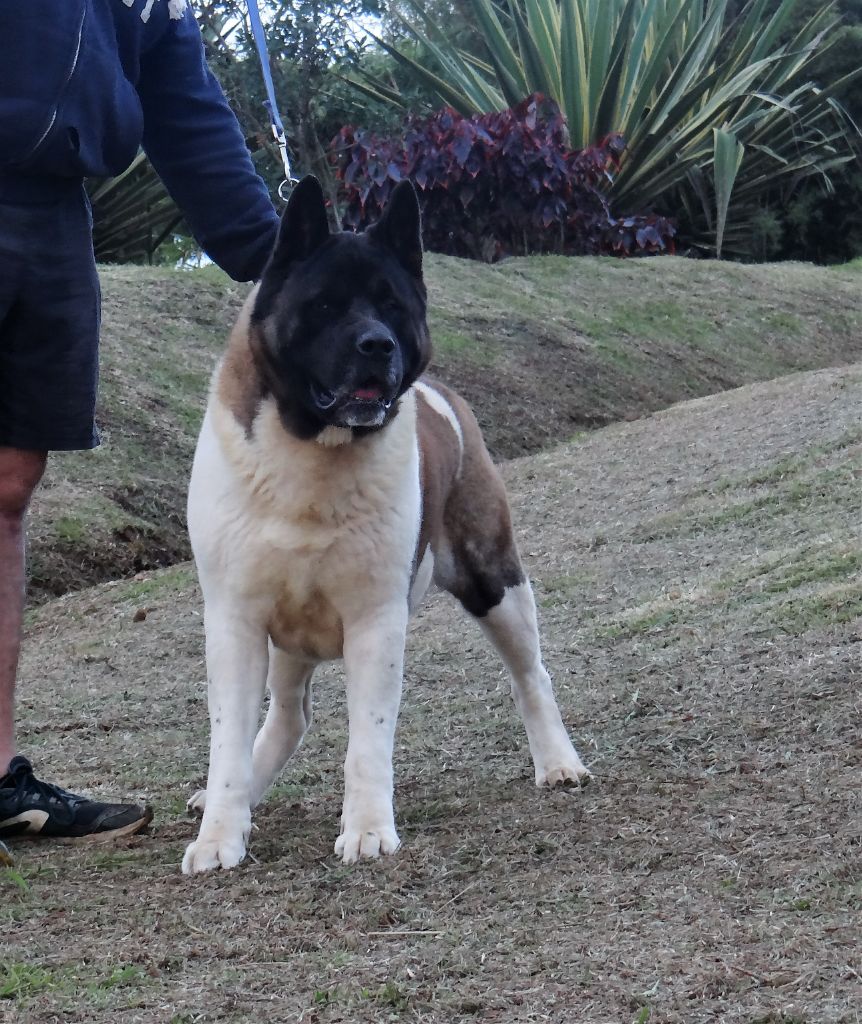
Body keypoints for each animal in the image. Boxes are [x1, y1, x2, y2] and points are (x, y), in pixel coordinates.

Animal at [179, 174, 589, 872]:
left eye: (392, 305)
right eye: (324, 305)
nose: (378, 344)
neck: (314, 449)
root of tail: (442, 394)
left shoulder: (375, 621)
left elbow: (367, 739)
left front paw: (368, 828)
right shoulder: (236, 623)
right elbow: (228, 738)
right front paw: (220, 834)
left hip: (492, 579)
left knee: (530, 673)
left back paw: (558, 761)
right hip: (286, 635)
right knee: (286, 718)